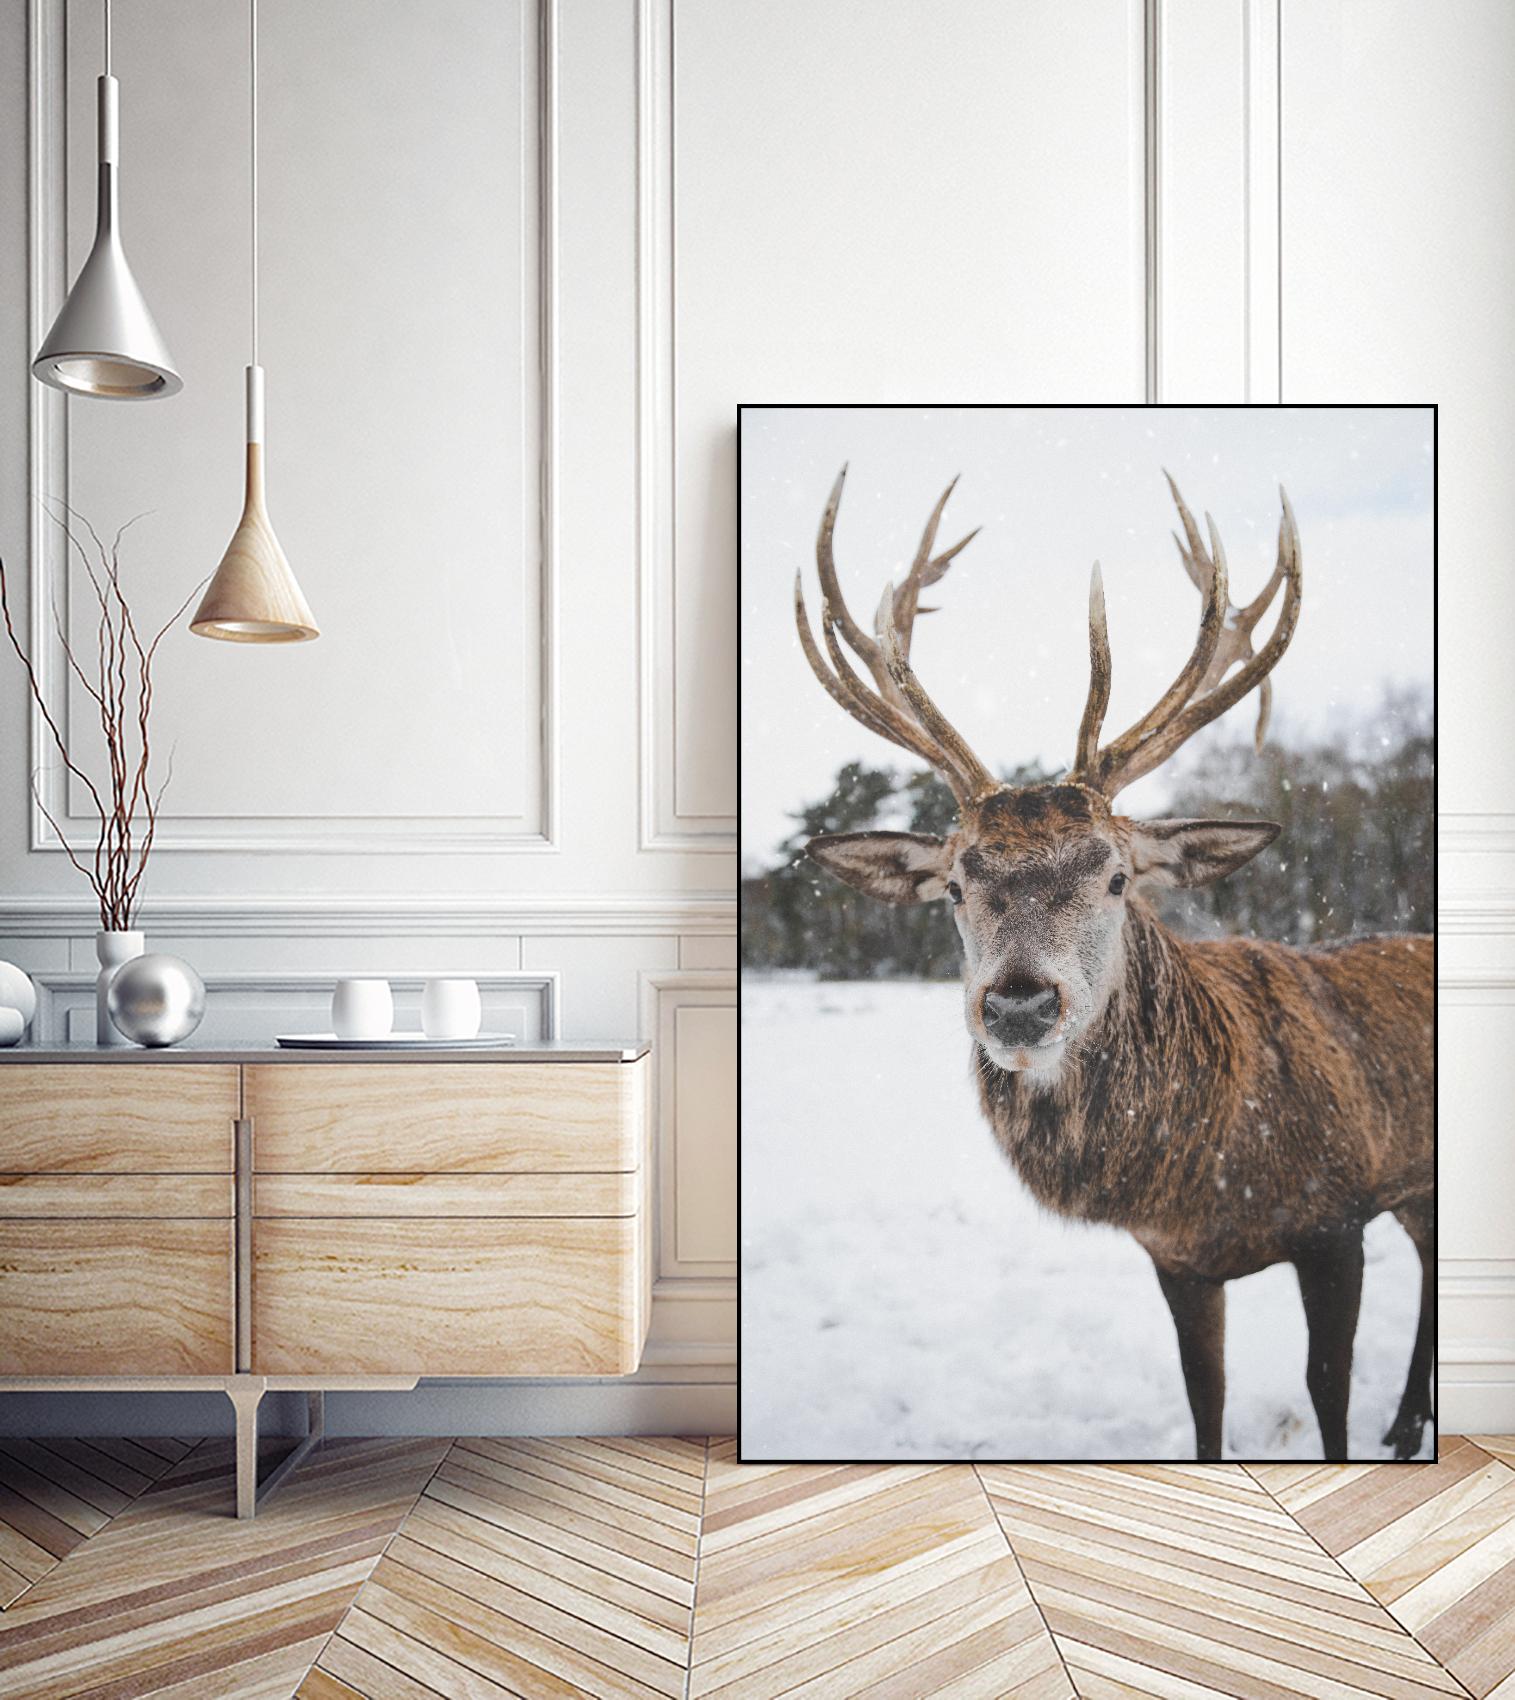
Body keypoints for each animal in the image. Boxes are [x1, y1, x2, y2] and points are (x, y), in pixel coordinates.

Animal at [793, 467, 1434, 1462]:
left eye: (1117, 876)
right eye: (953, 885)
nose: (1019, 1006)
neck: (1211, 1172)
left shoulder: (1336, 1216)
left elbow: (1326, 1393)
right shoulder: (1175, 1258)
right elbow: (1204, 1397)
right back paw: (1407, 1423)